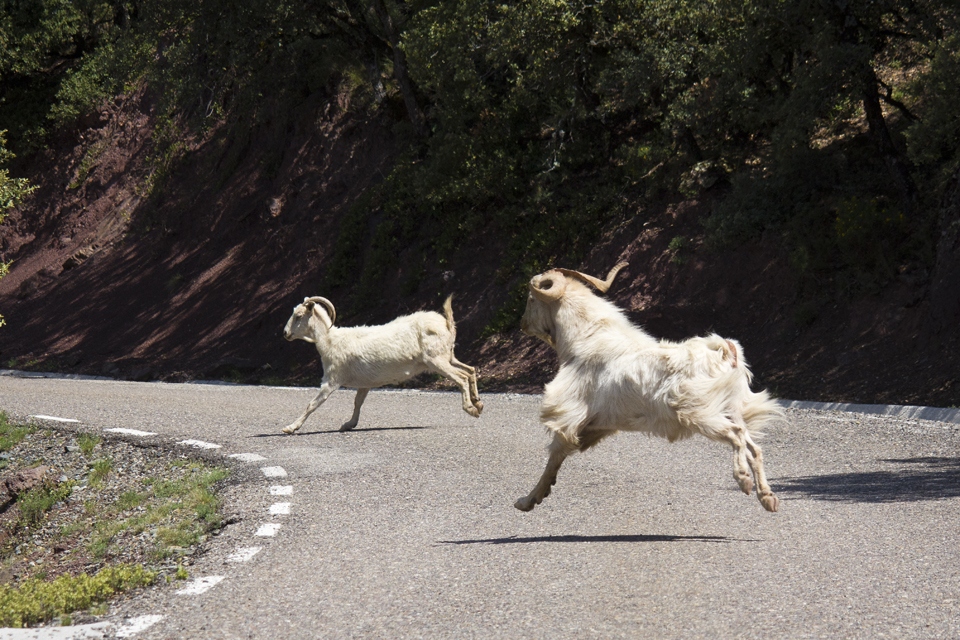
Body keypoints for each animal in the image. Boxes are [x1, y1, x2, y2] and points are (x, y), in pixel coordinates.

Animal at [281, 295, 482, 433]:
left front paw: (291, 427)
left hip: (436, 360)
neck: (330, 340)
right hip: (447, 357)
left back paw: (471, 408)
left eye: (298, 315)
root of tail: (447, 324)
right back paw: (478, 403)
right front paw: (349, 424)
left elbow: (313, 404)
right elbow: (358, 402)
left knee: (462, 378)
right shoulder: (365, 383)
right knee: (470, 370)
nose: (285, 333)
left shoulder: (332, 380)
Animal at [515, 262, 782, 513]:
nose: (522, 325)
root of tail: (724, 351)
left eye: (531, 299)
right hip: (730, 409)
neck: (585, 340)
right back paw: (767, 498)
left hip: (700, 412)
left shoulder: (569, 416)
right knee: (753, 447)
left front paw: (527, 500)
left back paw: (744, 480)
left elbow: (553, 458)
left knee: (736, 435)